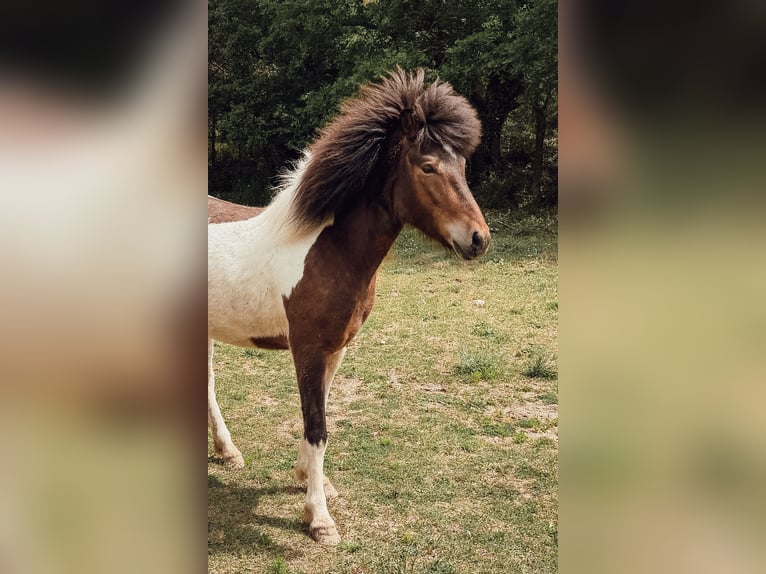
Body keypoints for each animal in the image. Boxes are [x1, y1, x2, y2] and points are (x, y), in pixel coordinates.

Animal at [208, 68, 489, 545]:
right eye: (428, 166)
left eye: (463, 167)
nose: (478, 239)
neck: (328, 250)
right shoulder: (307, 349)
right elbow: (316, 425)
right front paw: (319, 519)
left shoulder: (335, 349)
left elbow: (319, 415)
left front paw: (311, 480)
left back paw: (227, 453)